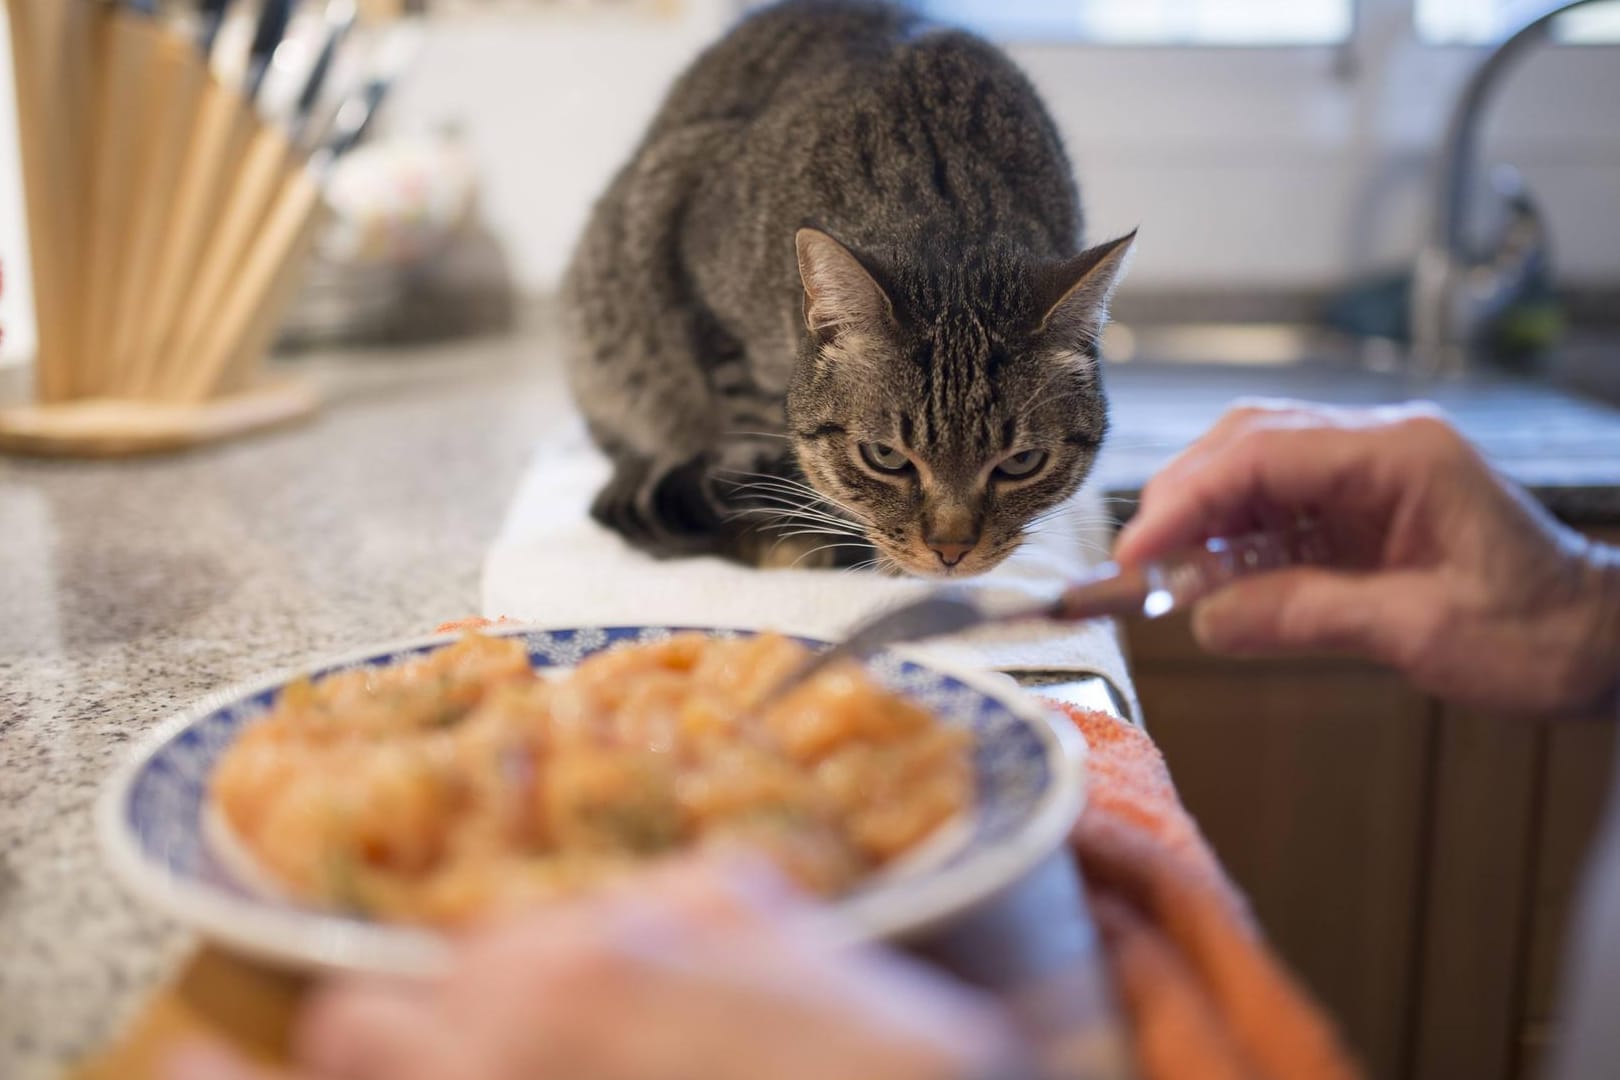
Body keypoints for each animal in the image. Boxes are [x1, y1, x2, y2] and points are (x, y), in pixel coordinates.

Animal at [563, 0, 1134, 579]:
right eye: (885, 457)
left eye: (1021, 463)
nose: (951, 551)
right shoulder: (695, 260)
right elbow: (750, 441)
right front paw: (792, 534)